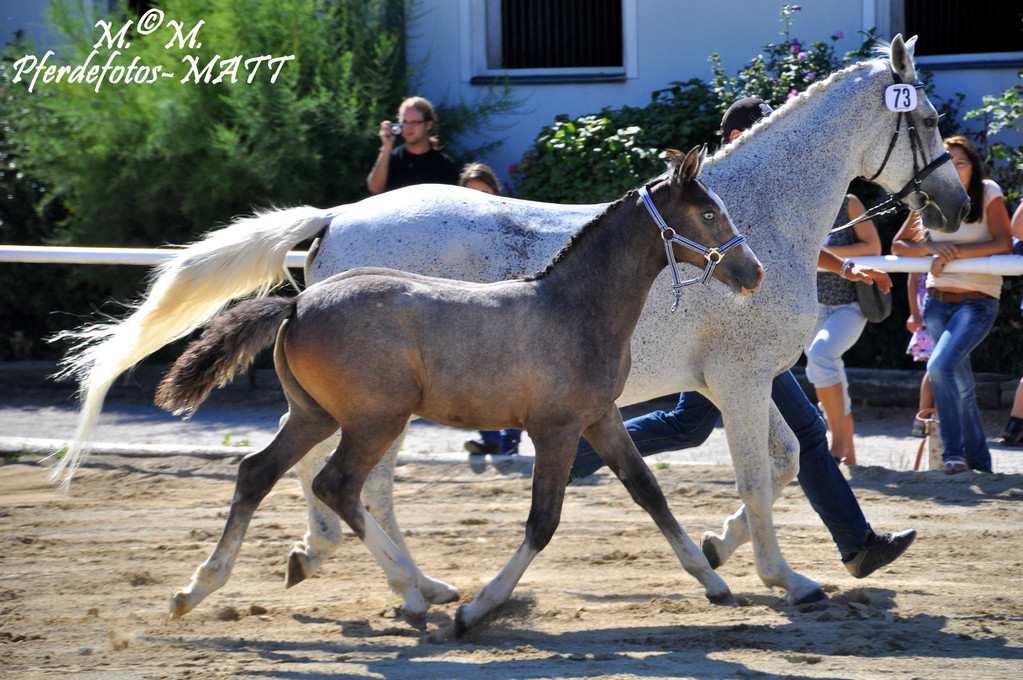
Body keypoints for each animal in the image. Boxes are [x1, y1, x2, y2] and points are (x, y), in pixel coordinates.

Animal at [53, 37, 965, 609]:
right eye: (922, 120)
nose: (953, 206)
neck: (758, 218)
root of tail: (337, 217)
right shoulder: (739, 380)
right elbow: (757, 473)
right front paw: (788, 579)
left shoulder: (750, 381)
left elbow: (785, 463)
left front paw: (726, 551)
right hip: (381, 407)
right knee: (355, 484)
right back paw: (395, 582)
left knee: (323, 477)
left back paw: (365, 570)